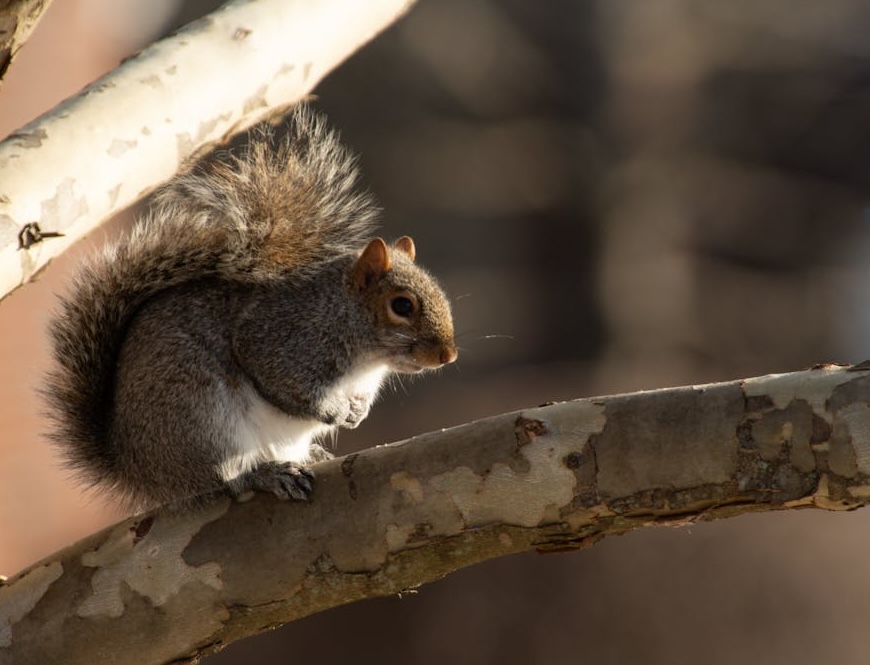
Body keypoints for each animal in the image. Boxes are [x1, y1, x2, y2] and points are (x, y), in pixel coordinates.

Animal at [44, 105, 457, 510]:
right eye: (401, 305)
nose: (448, 356)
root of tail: (136, 470)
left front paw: (357, 412)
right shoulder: (283, 337)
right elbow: (285, 383)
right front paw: (335, 412)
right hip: (202, 419)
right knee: (225, 480)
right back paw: (267, 474)